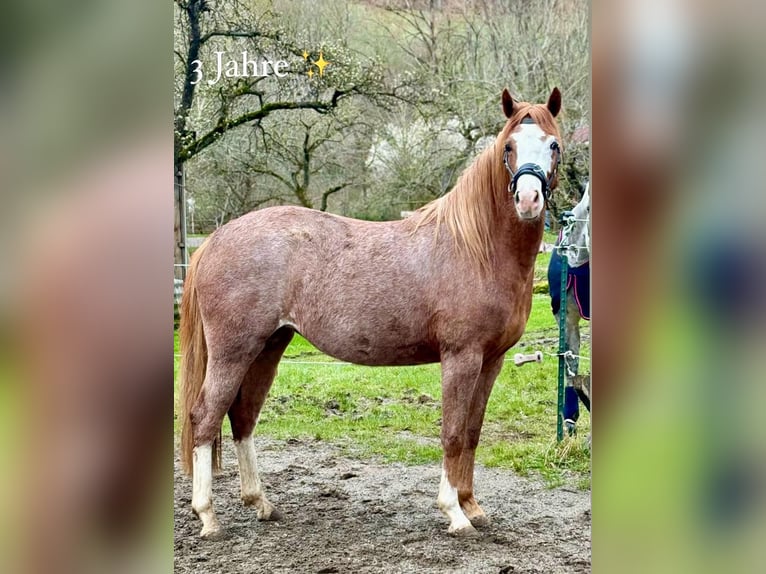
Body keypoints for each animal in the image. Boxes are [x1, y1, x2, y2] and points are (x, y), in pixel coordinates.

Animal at [178, 86, 564, 540]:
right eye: (508, 147)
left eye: (553, 145)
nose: (528, 199)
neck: (476, 248)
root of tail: (215, 239)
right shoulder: (461, 356)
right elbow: (452, 433)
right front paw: (454, 512)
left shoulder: (492, 360)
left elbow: (471, 432)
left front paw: (473, 506)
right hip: (233, 351)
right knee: (205, 417)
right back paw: (208, 515)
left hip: (269, 346)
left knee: (242, 417)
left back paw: (260, 503)